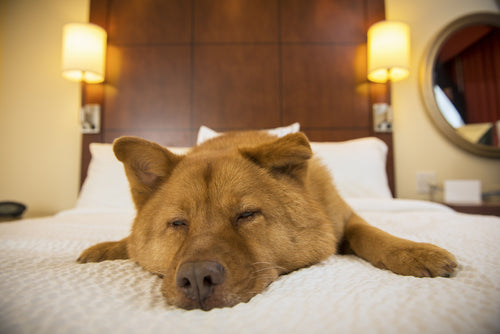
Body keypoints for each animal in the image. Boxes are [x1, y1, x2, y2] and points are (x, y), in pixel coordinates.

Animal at [78, 130, 458, 310]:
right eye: (178, 223)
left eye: (247, 215)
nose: (197, 279)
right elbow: (131, 244)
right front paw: (107, 248)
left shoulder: (346, 219)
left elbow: (372, 234)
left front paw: (414, 252)